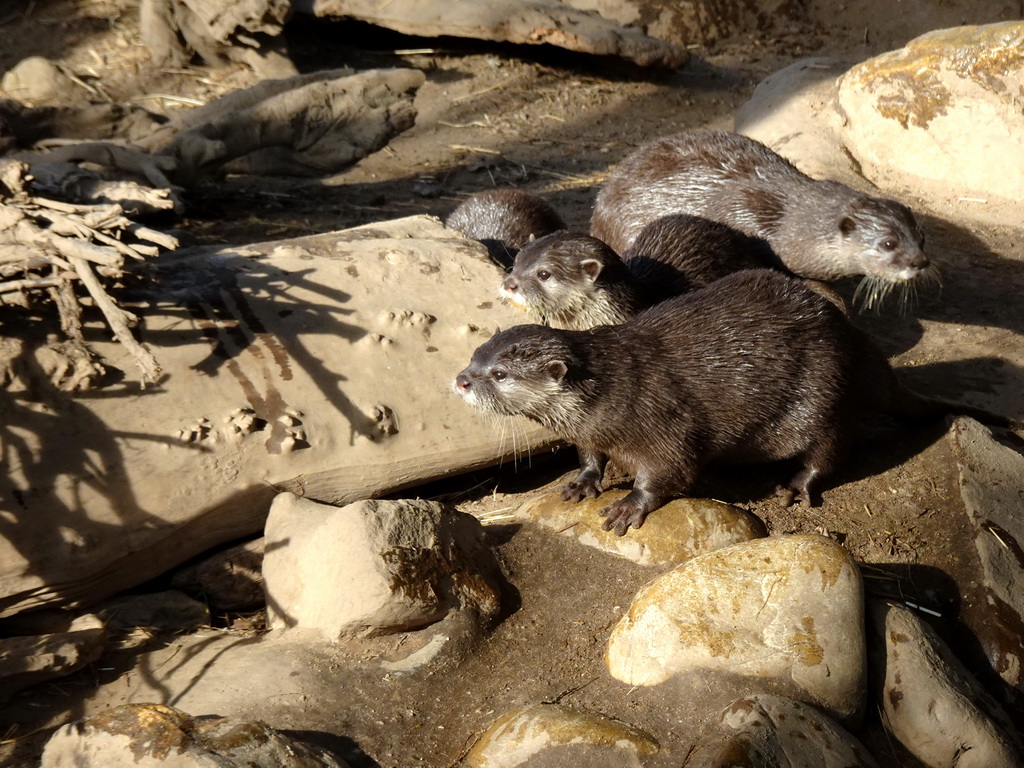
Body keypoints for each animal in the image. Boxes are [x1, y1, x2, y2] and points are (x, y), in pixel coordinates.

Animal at [458, 270, 1015, 536]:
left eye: (499, 374)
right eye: (474, 356)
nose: (461, 380)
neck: (614, 390)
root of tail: (855, 338)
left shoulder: (661, 418)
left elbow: (671, 469)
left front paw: (629, 506)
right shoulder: (591, 430)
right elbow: (591, 457)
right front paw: (581, 482)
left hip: (823, 391)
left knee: (833, 447)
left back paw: (795, 486)